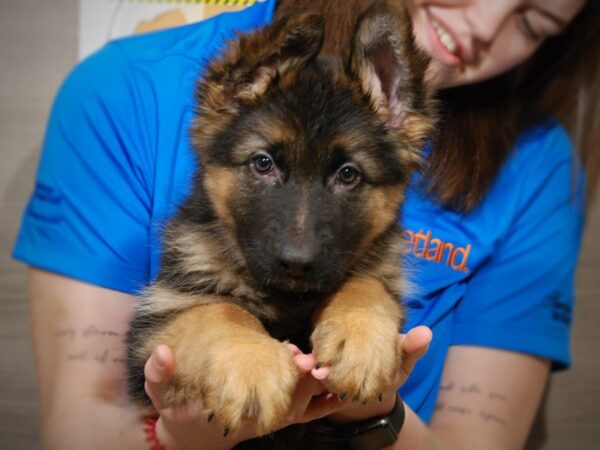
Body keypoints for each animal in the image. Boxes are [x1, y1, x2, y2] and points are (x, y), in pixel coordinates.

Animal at [129, 1, 434, 448]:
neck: (288, 298)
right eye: (263, 163)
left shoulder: (375, 274)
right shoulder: (153, 328)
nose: (296, 263)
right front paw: (251, 363)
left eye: (348, 174)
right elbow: (216, 311)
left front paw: (360, 337)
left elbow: (365, 283)